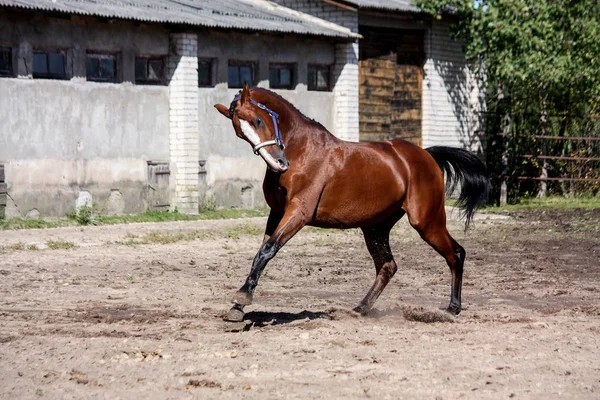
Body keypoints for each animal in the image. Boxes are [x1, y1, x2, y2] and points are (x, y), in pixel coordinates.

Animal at [214, 84, 488, 322]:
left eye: (258, 121)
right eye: (240, 133)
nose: (279, 163)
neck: (301, 150)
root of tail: (426, 155)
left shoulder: (299, 212)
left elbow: (268, 249)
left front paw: (242, 297)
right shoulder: (277, 212)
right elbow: (261, 251)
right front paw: (238, 307)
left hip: (426, 221)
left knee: (456, 253)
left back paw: (452, 308)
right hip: (375, 227)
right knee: (388, 266)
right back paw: (359, 309)